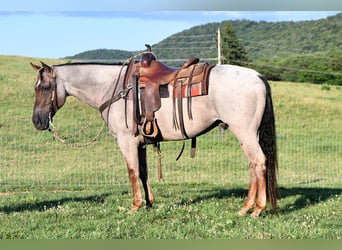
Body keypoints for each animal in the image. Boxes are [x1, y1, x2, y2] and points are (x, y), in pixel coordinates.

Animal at [31, 54, 278, 217]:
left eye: (45, 87)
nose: (37, 121)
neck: (113, 88)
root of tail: (257, 76)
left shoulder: (126, 141)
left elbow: (132, 172)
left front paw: (135, 206)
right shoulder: (140, 143)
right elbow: (143, 172)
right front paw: (149, 203)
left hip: (245, 132)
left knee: (258, 162)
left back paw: (256, 209)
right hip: (248, 134)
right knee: (253, 165)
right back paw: (247, 207)